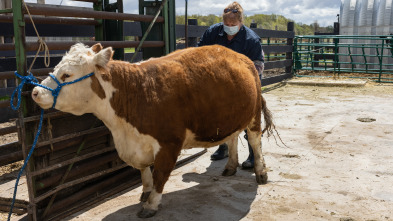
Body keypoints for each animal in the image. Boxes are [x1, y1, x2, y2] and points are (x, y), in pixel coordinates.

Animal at [31, 42, 272, 218]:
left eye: (67, 75)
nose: (35, 92)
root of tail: (240, 56)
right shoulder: (137, 144)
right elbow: (144, 171)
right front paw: (145, 192)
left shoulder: (169, 143)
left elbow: (160, 174)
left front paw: (151, 204)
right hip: (231, 115)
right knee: (232, 138)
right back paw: (230, 166)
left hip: (253, 115)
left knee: (254, 141)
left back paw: (261, 172)